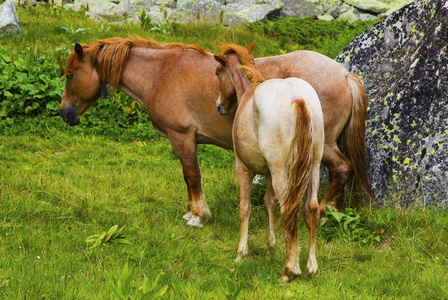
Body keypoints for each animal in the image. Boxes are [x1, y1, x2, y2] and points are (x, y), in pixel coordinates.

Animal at [60, 36, 374, 226]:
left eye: (69, 75)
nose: (65, 113)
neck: (161, 73)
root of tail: (344, 73)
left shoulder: (182, 137)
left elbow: (192, 175)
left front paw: (198, 216)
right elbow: (187, 178)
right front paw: (191, 211)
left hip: (322, 145)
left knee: (342, 168)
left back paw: (323, 212)